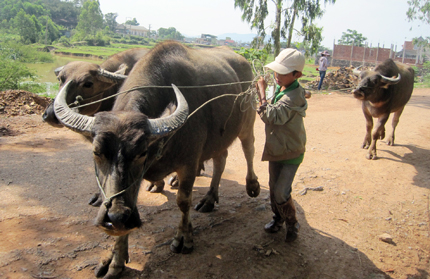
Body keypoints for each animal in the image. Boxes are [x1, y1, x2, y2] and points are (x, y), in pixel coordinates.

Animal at [54, 40, 262, 278]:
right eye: (96, 152)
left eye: (141, 153)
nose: (116, 217)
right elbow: (131, 202)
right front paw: (115, 260)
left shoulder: (189, 163)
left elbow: (183, 201)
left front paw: (183, 238)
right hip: (221, 136)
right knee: (221, 160)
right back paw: (209, 199)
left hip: (247, 121)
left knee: (249, 148)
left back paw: (252, 185)